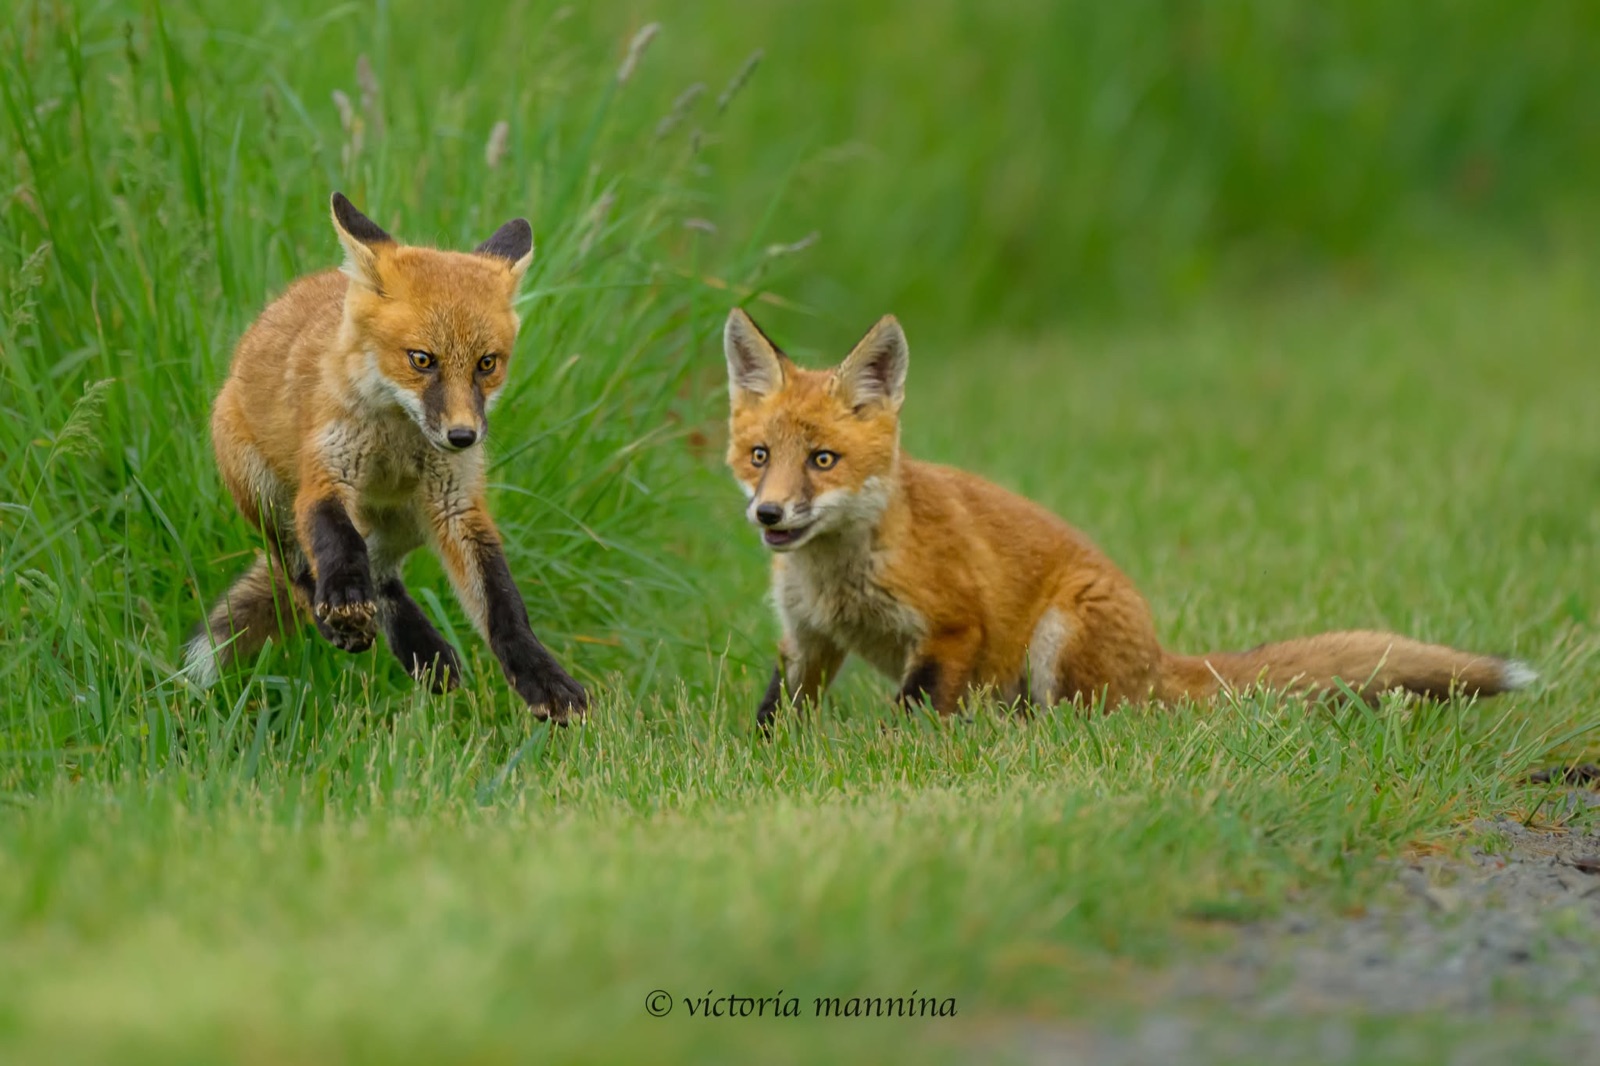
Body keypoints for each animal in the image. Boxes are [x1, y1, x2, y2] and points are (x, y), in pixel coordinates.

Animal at [182, 192, 588, 721]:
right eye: (422, 359)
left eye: (487, 364)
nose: (463, 436)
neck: (397, 444)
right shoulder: (326, 476)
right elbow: (337, 542)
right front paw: (344, 602)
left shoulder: (457, 505)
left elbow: (502, 603)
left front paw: (542, 677)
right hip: (267, 495)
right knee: (301, 568)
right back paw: (341, 621)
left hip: (408, 522)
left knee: (385, 575)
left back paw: (423, 650)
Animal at [722, 308, 1536, 730]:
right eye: (760, 455)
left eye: (823, 460)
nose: (768, 512)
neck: (838, 576)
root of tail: (1158, 656)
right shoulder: (808, 639)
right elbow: (775, 715)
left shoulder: (952, 628)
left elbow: (914, 716)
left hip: (1059, 638)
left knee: (1088, 722)